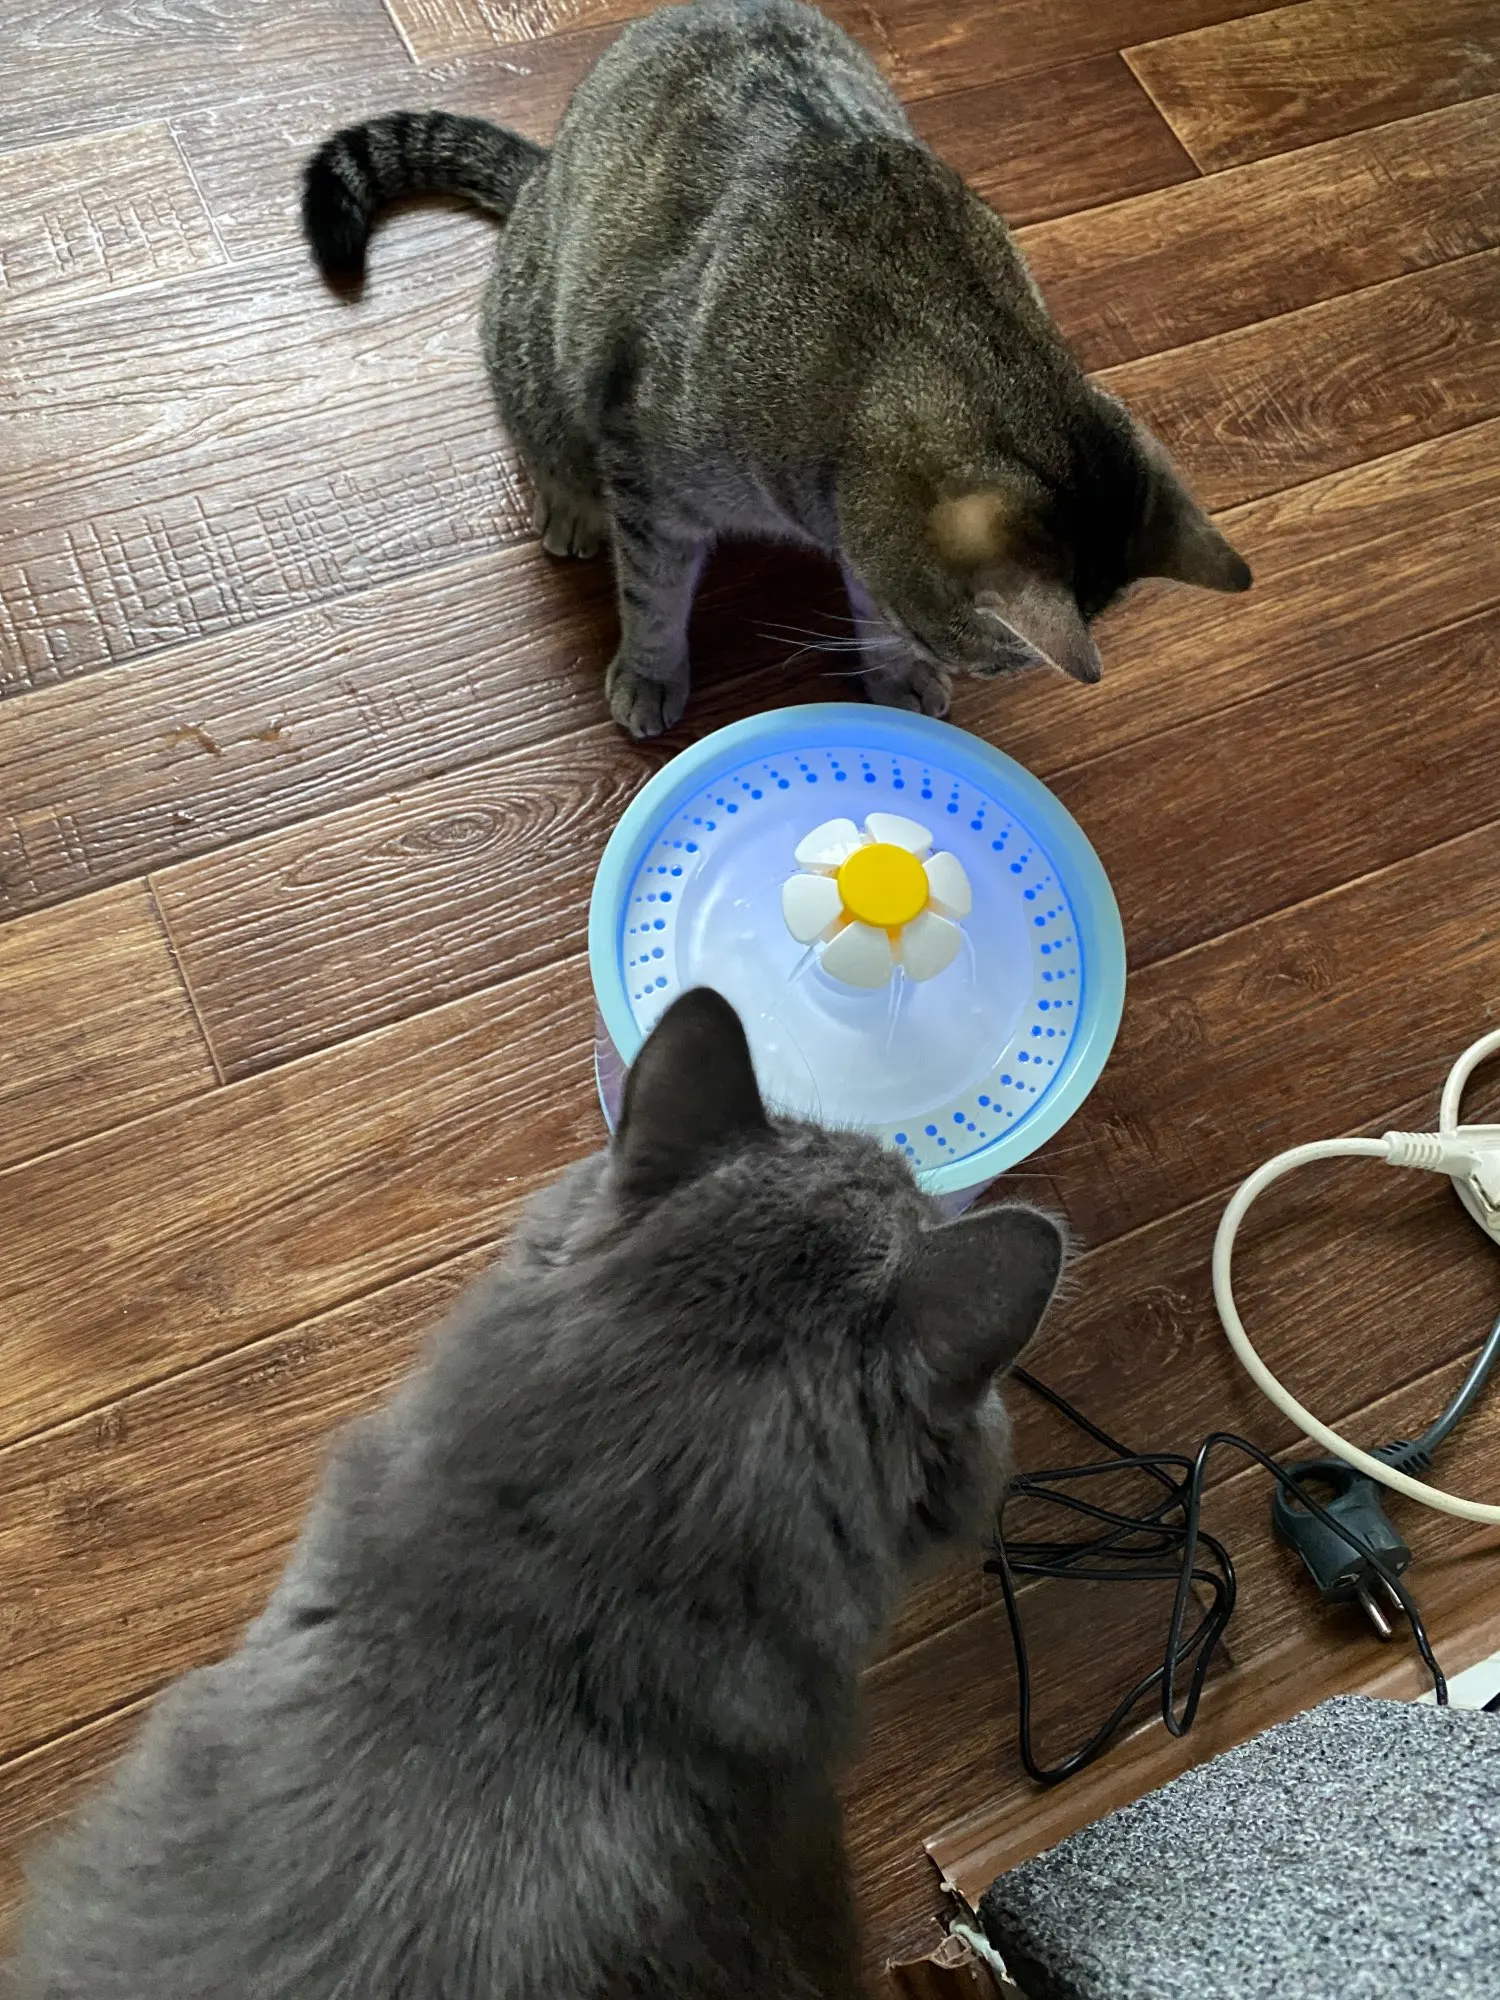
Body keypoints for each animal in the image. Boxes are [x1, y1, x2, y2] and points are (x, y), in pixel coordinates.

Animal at [301, 0, 1250, 740]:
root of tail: (545, 168)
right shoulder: (648, 479)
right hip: (534, 351)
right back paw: (571, 507)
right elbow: (653, 596)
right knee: (545, 442)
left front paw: (893, 673)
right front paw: (651, 673)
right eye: (967, 644)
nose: (973, 673)